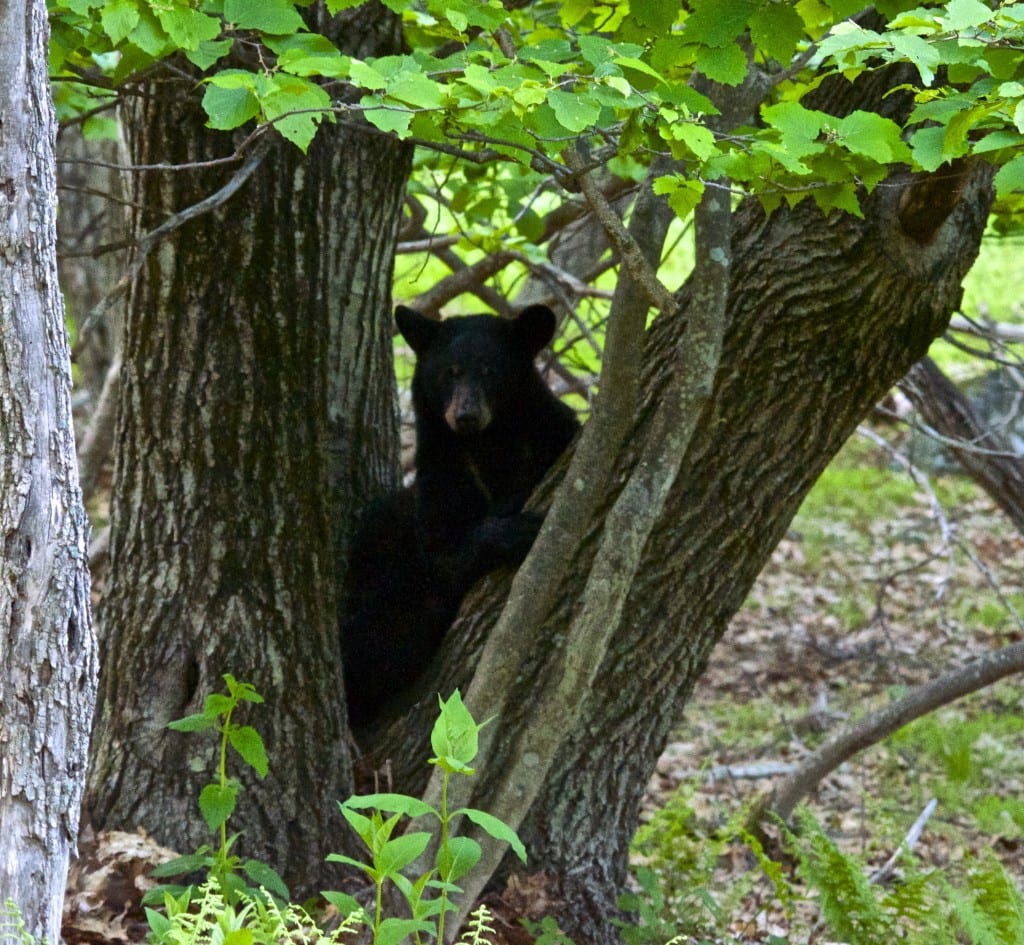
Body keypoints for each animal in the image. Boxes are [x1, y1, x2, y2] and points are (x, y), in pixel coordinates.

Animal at [342, 303, 581, 724]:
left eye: (490, 371)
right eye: (448, 372)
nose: (466, 415)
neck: (487, 446)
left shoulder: (552, 435)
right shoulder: (440, 475)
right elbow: (445, 554)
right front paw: (516, 528)